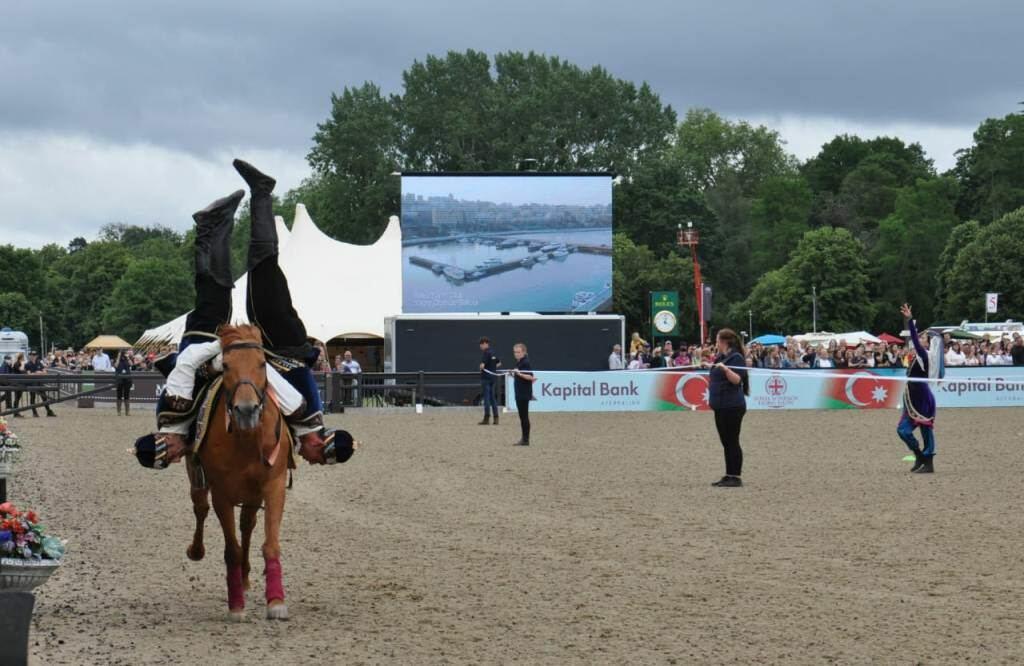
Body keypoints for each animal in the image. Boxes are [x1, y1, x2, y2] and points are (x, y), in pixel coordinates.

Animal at [186, 321, 290, 618]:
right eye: (226, 365)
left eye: (262, 363)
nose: (246, 410)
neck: (246, 438)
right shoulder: (222, 493)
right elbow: (230, 548)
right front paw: (236, 606)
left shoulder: (274, 484)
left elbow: (270, 544)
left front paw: (276, 601)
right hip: (196, 477)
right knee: (200, 508)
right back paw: (197, 550)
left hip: (253, 493)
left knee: (247, 524)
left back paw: (244, 577)